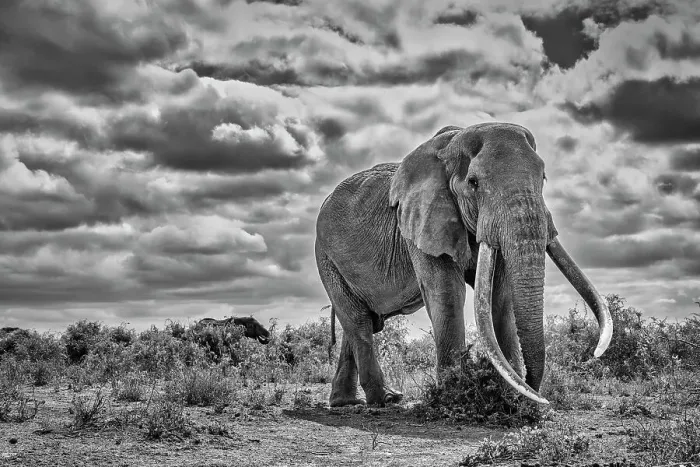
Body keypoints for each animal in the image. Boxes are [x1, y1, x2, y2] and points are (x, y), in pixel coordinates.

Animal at [315, 122, 613, 407]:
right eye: (474, 182)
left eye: (543, 178)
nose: (535, 393)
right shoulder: (421, 221)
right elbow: (447, 292)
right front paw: (452, 394)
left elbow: (499, 295)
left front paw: (511, 395)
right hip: (325, 257)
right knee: (359, 322)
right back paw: (383, 399)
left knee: (360, 321)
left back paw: (348, 402)